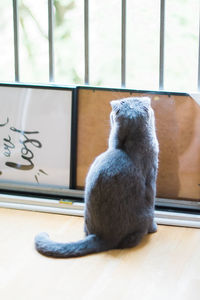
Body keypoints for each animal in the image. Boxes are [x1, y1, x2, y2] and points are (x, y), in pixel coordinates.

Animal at [34, 96, 159, 258]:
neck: (125, 147)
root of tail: (103, 237)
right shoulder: (152, 178)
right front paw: (154, 228)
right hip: (144, 216)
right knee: (130, 240)